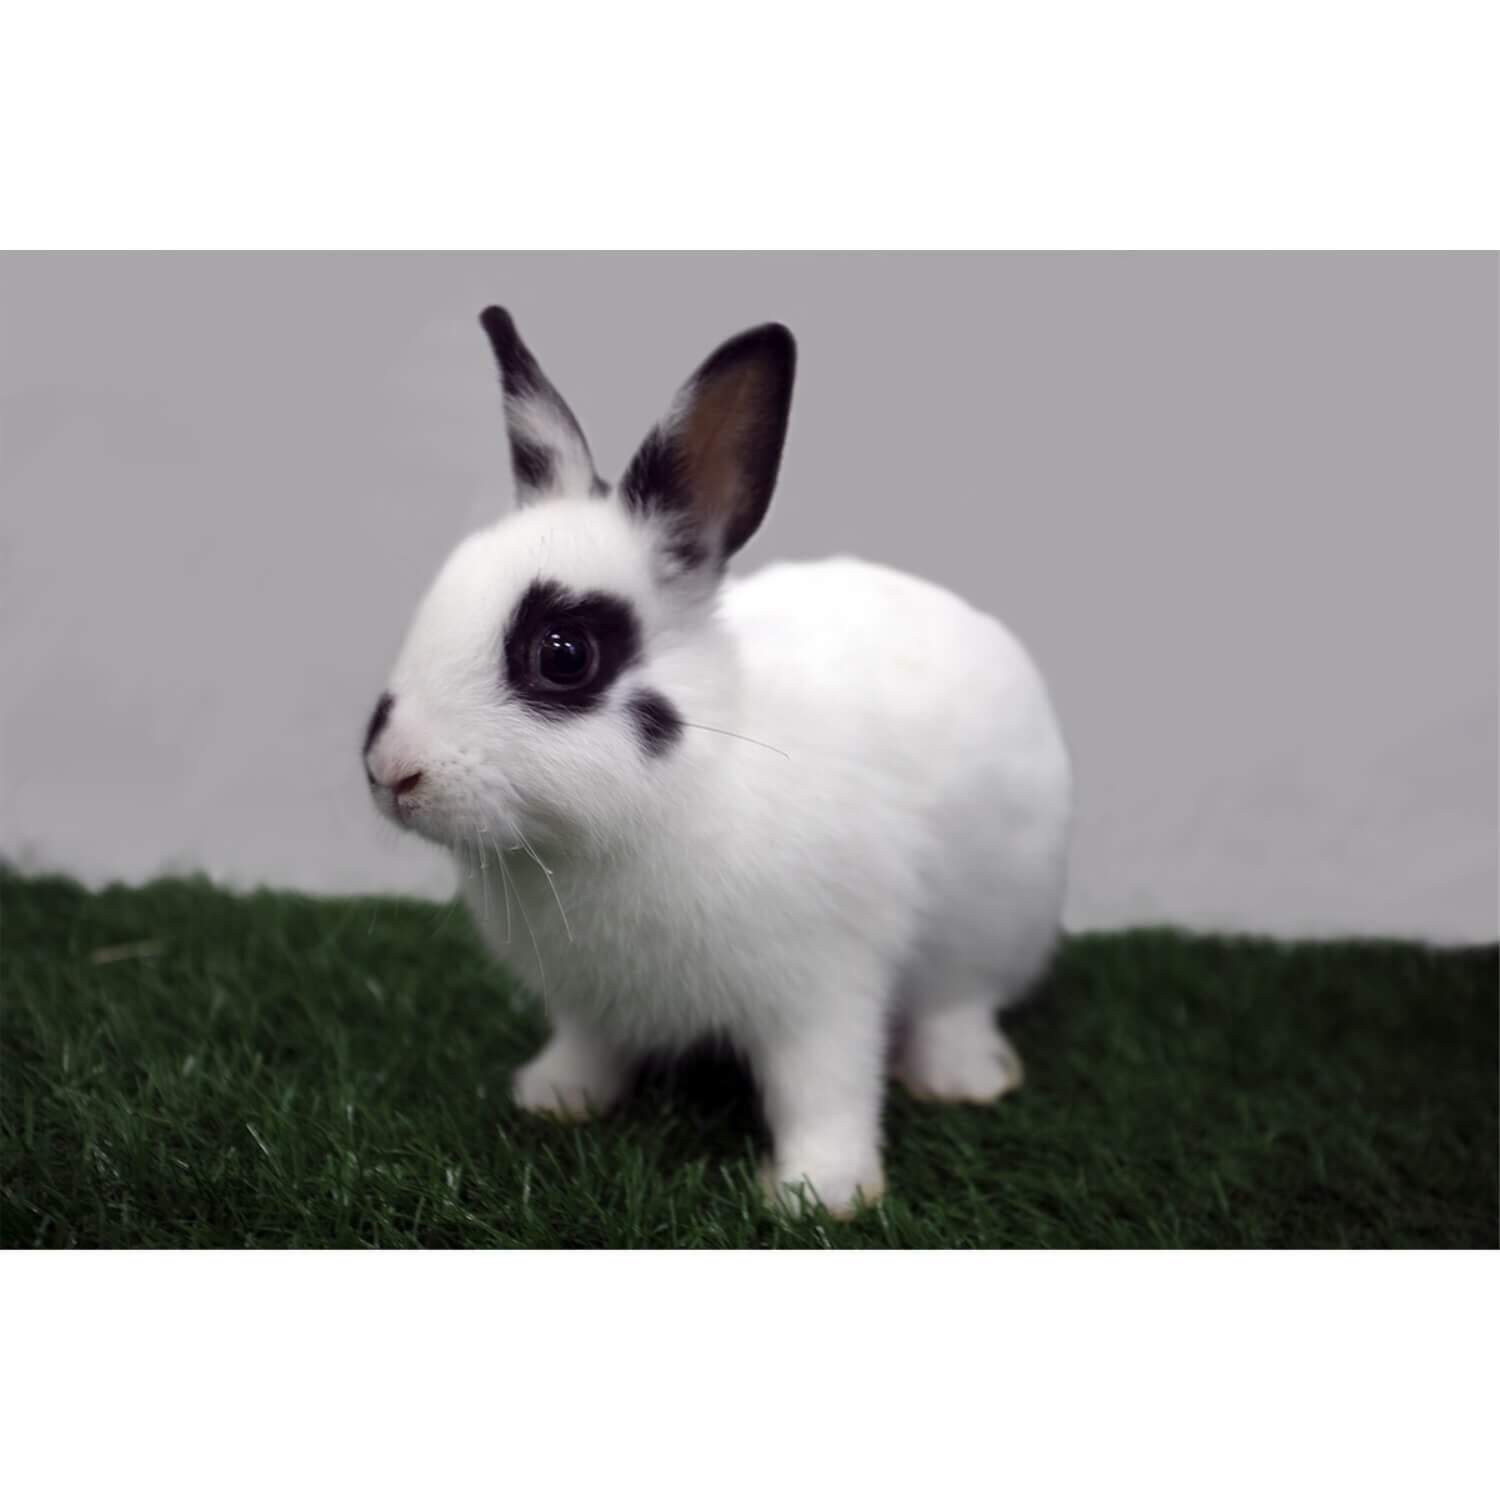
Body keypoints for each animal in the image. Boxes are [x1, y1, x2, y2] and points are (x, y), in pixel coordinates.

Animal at [363, 306, 1073, 1218]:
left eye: (564, 654)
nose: (392, 771)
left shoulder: (825, 987)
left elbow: (826, 1088)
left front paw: (819, 1192)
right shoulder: (587, 1002)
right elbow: (589, 1048)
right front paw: (554, 1098)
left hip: (994, 920)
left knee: (960, 1000)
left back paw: (962, 1080)